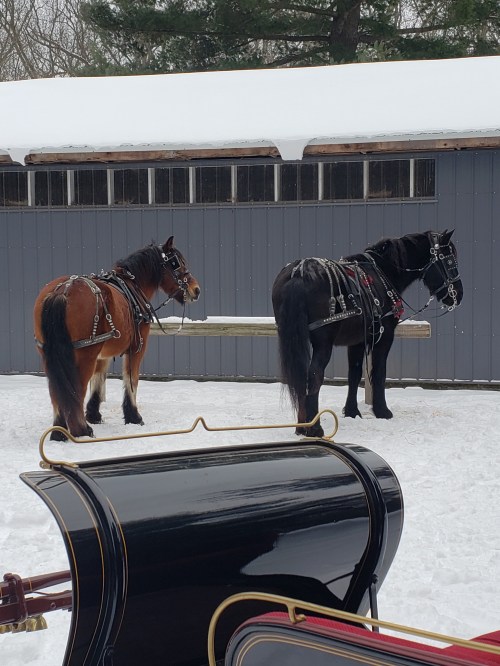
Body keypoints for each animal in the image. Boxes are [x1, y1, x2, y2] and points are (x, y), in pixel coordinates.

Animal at [33, 236, 200, 441]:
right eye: (176, 263)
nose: (196, 290)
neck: (132, 285)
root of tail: (62, 291)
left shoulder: (102, 352)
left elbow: (99, 379)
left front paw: (94, 414)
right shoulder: (137, 346)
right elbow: (131, 379)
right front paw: (133, 416)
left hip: (49, 355)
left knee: (56, 390)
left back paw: (59, 431)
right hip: (84, 355)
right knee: (76, 390)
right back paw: (82, 430)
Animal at [272, 230, 463, 437]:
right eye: (450, 261)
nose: (458, 294)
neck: (382, 272)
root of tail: (299, 273)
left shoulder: (357, 341)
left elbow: (354, 374)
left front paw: (352, 411)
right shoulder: (384, 336)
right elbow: (378, 372)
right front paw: (383, 411)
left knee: (300, 376)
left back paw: (301, 426)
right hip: (323, 343)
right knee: (314, 376)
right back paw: (315, 428)